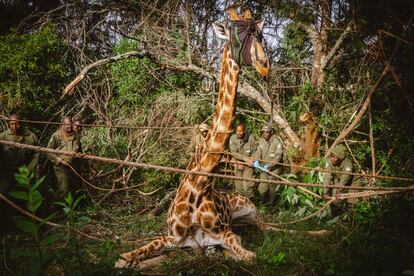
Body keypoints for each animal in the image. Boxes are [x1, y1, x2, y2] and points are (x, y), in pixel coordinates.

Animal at [115, 6, 270, 268]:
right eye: (237, 34)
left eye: (259, 33)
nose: (264, 65)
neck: (200, 185)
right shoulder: (172, 238)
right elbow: (138, 252)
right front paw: (127, 259)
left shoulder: (223, 234)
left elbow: (245, 254)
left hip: (250, 210)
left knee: (271, 226)